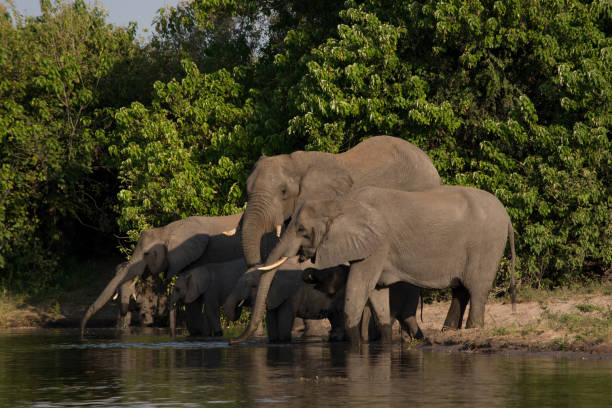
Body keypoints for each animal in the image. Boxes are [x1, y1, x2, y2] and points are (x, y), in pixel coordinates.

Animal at [232, 186, 512, 346]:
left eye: (301, 229)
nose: (233, 342)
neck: (343, 203)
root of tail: (506, 214)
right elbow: (377, 293)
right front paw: (384, 345)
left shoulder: (378, 243)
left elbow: (358, 289)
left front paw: (355, 348)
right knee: (460, 289)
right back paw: (448, 331)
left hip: (487, 243)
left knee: (476, 288)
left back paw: (473, 329)